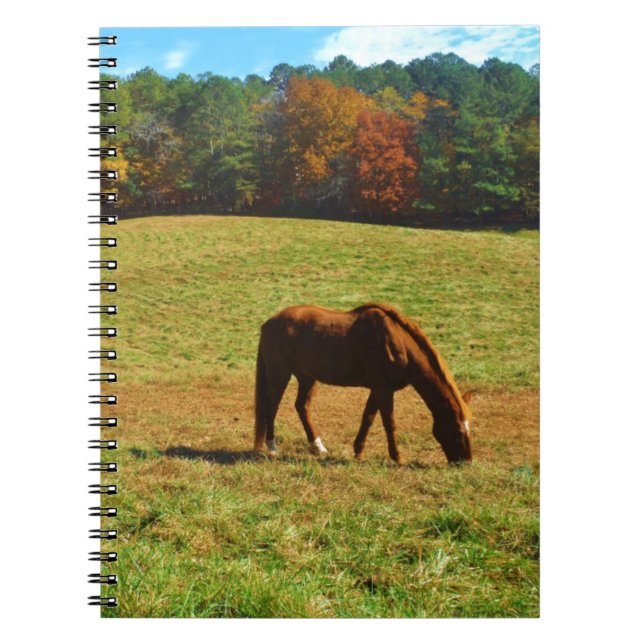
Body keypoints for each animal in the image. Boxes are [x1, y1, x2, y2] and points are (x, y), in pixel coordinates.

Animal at [253, 303, 473, 464]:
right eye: (458, 429)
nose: (466, 462)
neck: (397, 343)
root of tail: (268, 324)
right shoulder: (384, 390)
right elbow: (389, 422)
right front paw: (397, 457)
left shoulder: (378, 389)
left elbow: (368, 418)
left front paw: (358, 451)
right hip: (279, 375)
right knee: (271, 408)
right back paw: (272, 448)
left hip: (307, 378)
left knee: (302, 407)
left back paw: (318, 447)